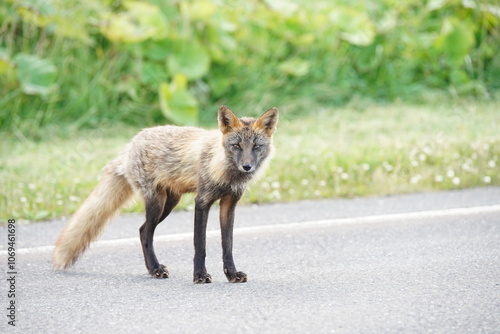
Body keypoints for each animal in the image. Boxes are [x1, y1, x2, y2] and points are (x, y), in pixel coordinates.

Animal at [53, 105, 280, 284]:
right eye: (237, 146)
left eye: (256, 146)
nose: (247, 167)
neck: (223, 168)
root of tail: (132, 142)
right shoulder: (202, 201)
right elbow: (200, 244)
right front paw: (199, 275)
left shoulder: (229, 204)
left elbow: (228, 245)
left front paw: (231, 274)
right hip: (156, 204)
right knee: (145, 232)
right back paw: (155, 269)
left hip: (170, 203)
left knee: (142, 230)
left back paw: (151, 269)